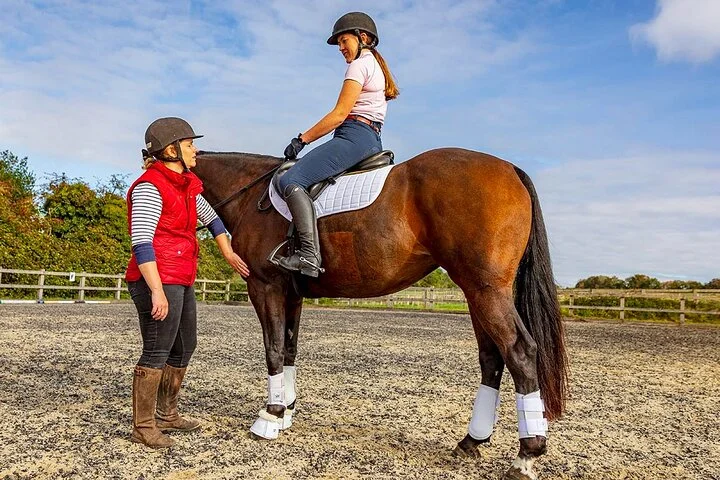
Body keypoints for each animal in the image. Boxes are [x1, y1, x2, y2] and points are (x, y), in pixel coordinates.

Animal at [193, 148, 568, 480]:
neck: (249, 194)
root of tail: (510, 169)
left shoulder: (265, 286)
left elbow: (272, 349)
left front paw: (270, 418)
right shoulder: (292, 293)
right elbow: (288, 350)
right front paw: (286, 412)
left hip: (487, 290)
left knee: (520, 352)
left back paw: (526, 456)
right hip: (477, 293)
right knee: (492, 358)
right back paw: (471, 441)